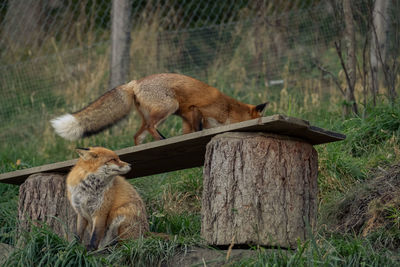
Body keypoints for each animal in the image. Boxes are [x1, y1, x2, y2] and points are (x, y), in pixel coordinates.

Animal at [50, 72, 268, 146]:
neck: (230, 108)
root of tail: (134, 82)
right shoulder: (195, 110)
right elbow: (197, 129)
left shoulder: (187, 117)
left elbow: (190, 132)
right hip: (169, 107)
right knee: (151, 127)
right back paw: (162, 140)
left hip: (150, 117)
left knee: (137, 135)